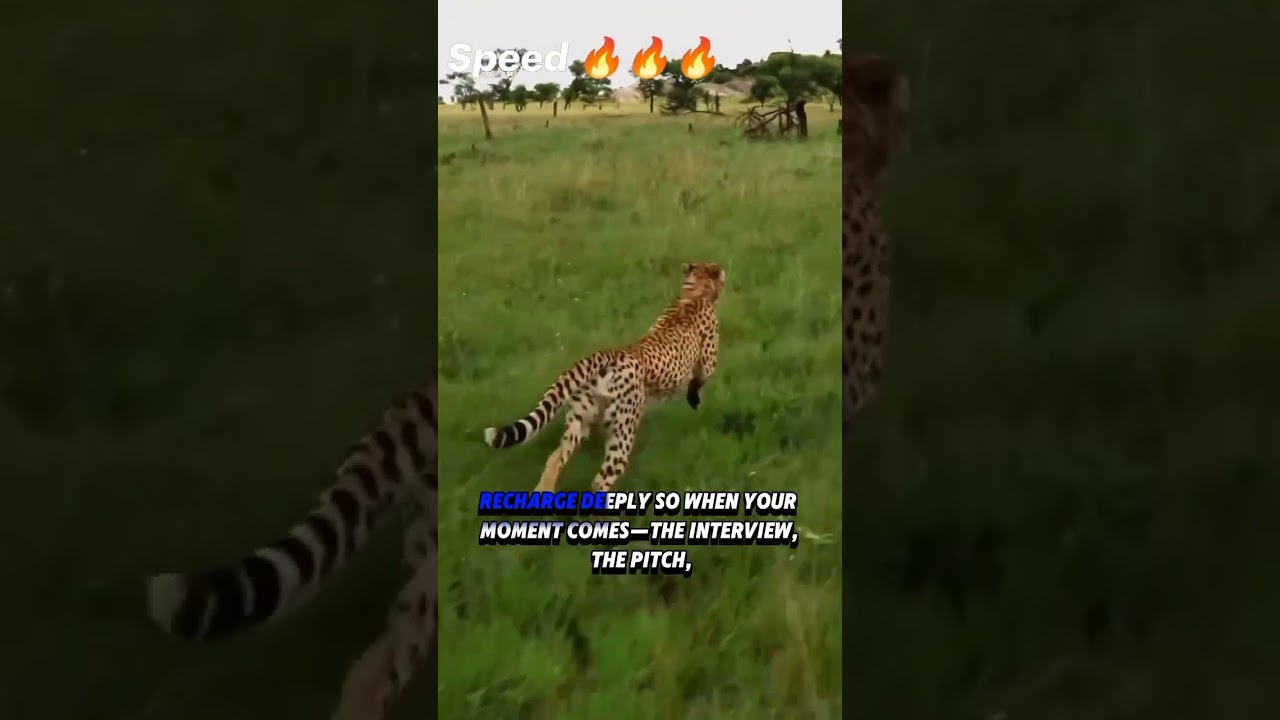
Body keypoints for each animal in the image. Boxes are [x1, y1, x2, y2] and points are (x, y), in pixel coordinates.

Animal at [484, 261, 726, 493]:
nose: (725, 276)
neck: (694, 293)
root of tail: (611, 354)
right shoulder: (708, 361)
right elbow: (700, 380)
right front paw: (694, 399)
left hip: (579, 420)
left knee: (555, 457)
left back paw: (543, 491)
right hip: (622, 434)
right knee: (599, 482)